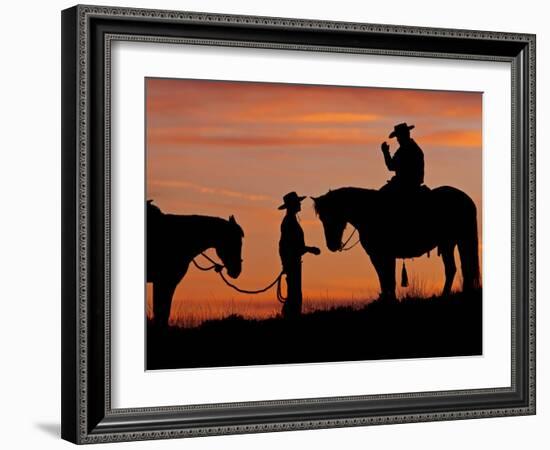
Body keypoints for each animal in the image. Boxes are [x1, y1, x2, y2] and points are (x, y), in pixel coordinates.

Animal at [314, 188, 484, 300]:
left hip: (453, 242)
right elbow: (385, 277)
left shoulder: (381, 255)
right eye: (321, 218)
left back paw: (445, 294)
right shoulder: (381, 255)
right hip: (453, 243)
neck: (370, 212)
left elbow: (387, 278)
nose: (332, 245)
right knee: (460, 268)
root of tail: (466, 199)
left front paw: (389, 300)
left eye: (333, 214)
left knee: (455, 268)